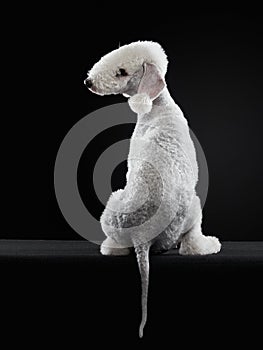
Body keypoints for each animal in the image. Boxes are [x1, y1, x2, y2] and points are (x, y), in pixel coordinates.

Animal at [84, 41, 221, 336]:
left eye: (122, 72)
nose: (89, 82)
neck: (159, 106)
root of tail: (142, 237)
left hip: (120, 206)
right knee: (188, 245)